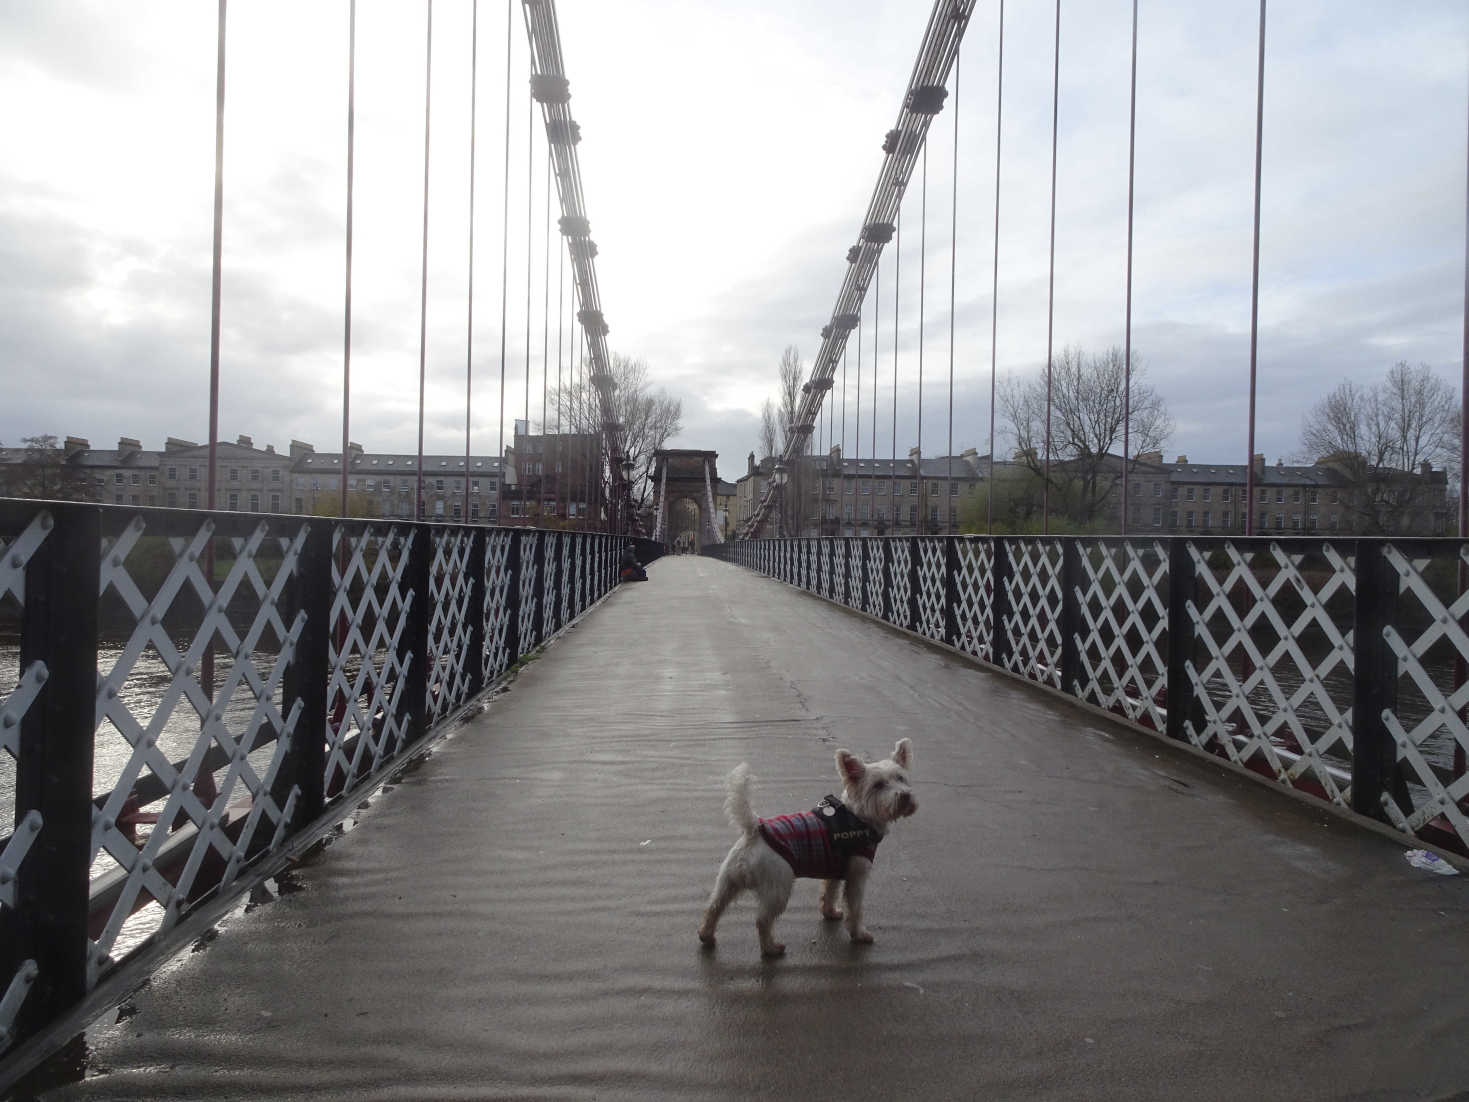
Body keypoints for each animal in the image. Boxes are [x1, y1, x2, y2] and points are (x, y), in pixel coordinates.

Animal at [699, 743, 916, 958]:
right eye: (878, 785)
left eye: (901, 778)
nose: (905, 796)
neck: (857, 817)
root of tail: (755, 829)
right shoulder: (857, 876)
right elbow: (855, 908)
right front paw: (860, 934)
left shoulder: (834, 872)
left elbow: (829, 893)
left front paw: (830, 912)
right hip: (778, 889)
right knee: (762, 920)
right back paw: (771, 948)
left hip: (729, 882)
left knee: (713, 907)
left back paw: (706, 936)